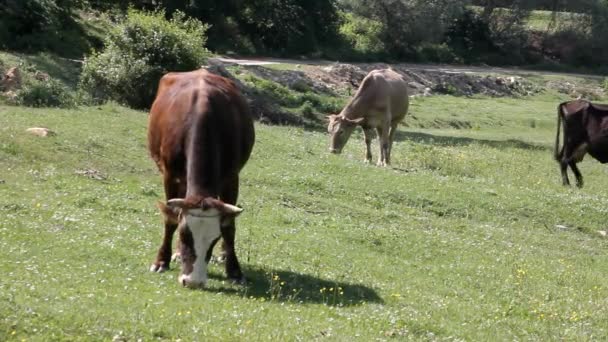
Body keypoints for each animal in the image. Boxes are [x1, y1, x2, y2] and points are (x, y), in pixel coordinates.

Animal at [148, 68, 255, 288]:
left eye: (214, 239)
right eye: (184, 235)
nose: (193, 281)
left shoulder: (232, 177)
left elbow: (229, 226)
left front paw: (234, 270)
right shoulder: (169, 175)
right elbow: (170, 218)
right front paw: (161, 260)